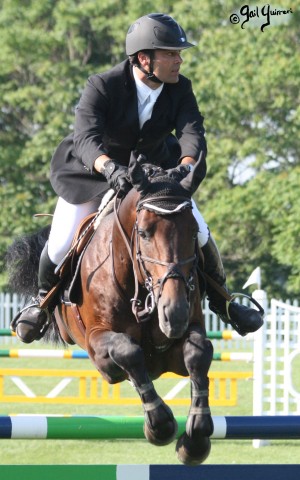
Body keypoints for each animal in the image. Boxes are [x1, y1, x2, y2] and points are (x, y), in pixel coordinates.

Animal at [6, 158, 213, 464]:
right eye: (143, 233)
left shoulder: (181, 343)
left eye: (193, 232)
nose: (174, 313)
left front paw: (195, 438)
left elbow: (198, 352)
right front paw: (160, 425)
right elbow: (128, 351)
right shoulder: (99, 350)